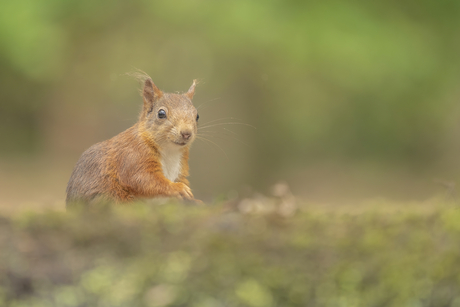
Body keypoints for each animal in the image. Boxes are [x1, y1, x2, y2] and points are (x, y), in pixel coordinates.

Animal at [66, 76, 199, 207]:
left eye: (197, 116)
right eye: (161, 113)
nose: (186, 133)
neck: (170, 151)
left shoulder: (180, 169)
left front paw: (194, 200)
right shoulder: (132, 156)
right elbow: (143, 179)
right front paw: (179, 188)